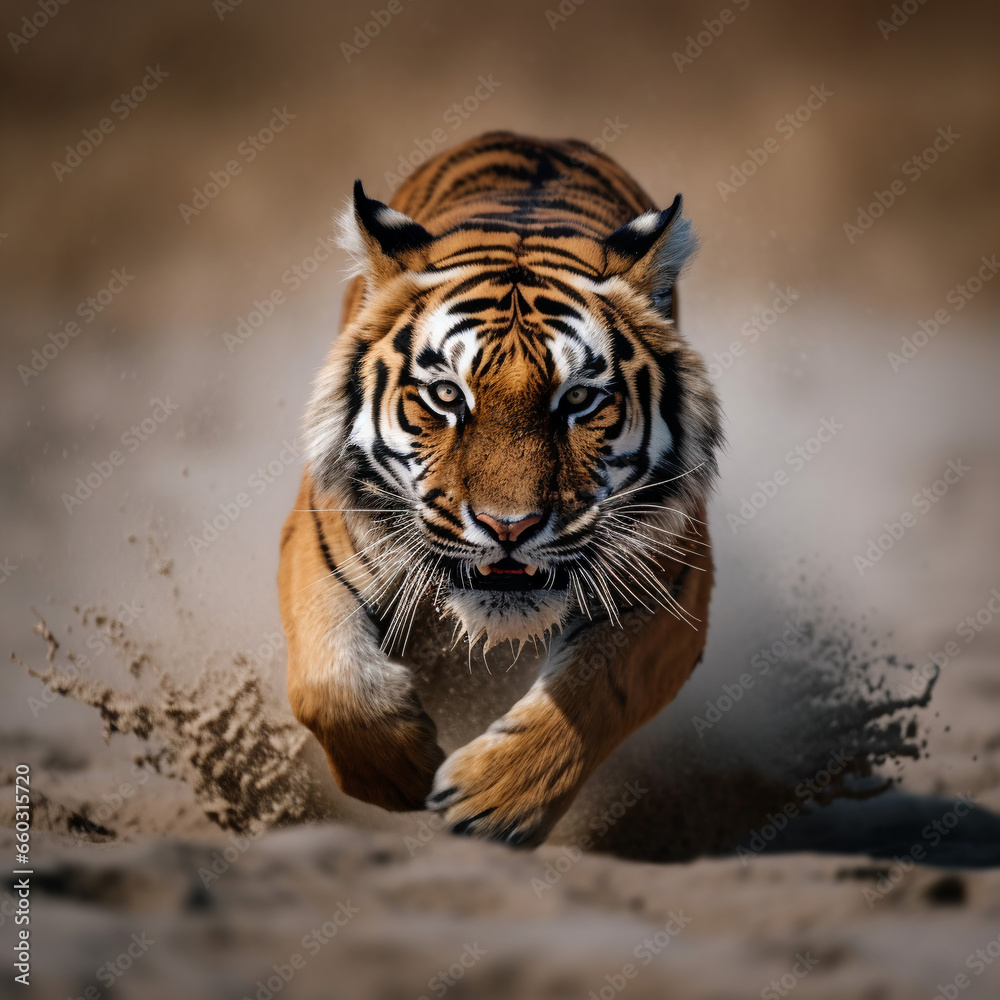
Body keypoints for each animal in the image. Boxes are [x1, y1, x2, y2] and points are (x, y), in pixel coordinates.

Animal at [278, 131, 722, 846]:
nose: (508, 527)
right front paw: (403, 776)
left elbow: (599, 687)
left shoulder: (673, 583)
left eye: (578, 400)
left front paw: (493, 799)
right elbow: (331, 683)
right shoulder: (320, 537)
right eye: (445, 395)